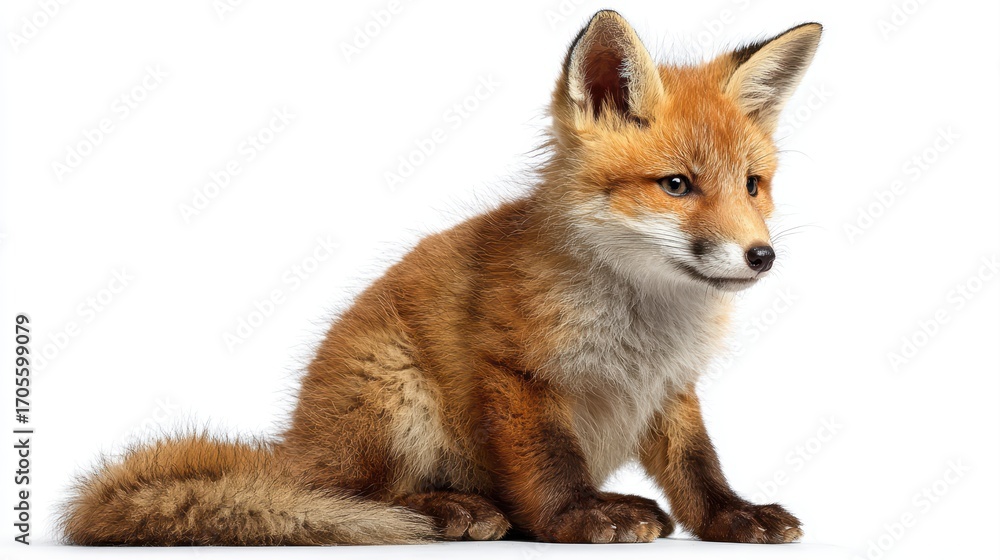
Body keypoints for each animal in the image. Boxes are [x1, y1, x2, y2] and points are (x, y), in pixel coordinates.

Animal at [61, 10, 822, 546]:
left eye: (753, 186)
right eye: (677, 185)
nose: (762, 256)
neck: (644, 320)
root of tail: (295, 449)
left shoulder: (669, 387)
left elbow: (699, 468)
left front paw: (734, 517)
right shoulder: (512, 367)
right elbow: (549, 465)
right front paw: (577, 518)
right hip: (397, 395)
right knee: (347, 498)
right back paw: (450, 509)